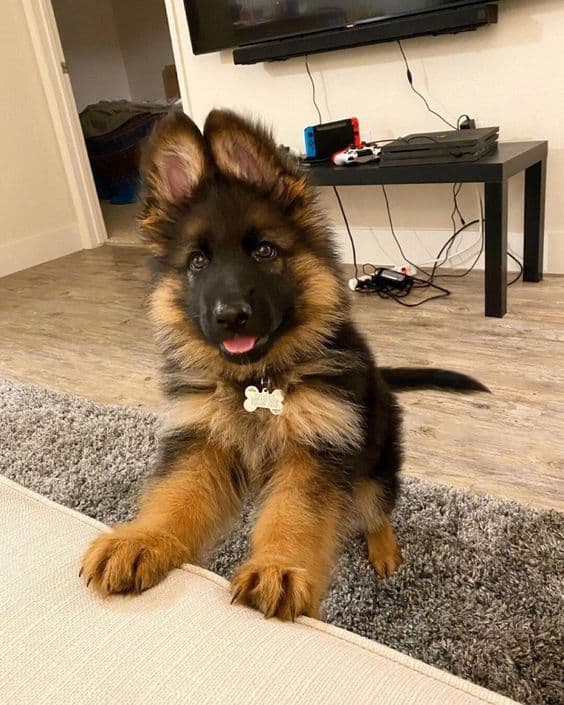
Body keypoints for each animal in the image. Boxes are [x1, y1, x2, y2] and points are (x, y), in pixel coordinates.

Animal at [79, 108, 484, 616]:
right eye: (197, 262)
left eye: (264, 251)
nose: (230, 316)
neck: (255, 381)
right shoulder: (200, 442)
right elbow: (174, 496)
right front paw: (142, 541)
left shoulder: (313, 448)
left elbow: (295, 514)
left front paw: (278, 567)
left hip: (373, 461)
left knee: (375, 507)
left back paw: (384, 549)